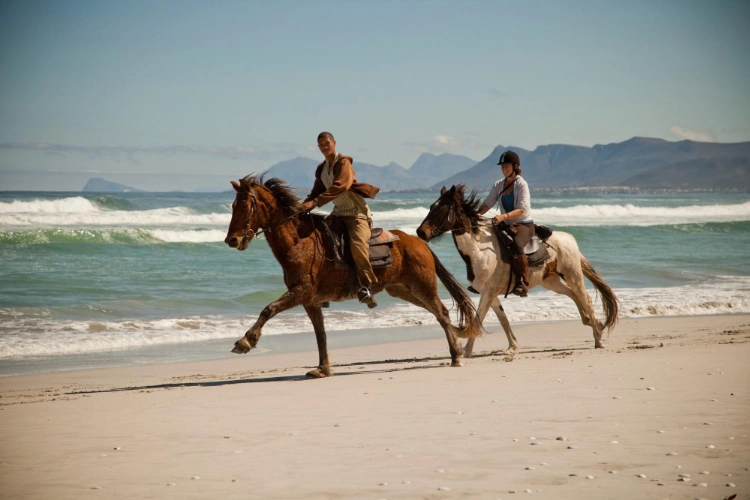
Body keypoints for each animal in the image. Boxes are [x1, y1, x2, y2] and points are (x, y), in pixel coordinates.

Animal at [223, 175, 480, 378]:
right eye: (233, 206)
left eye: (244, 205)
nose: (231, 240)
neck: (298, 242)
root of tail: (419, 241)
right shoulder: (310, 301)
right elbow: (320, 334)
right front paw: (323, 369)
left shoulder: (301, 292)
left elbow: (268, 309)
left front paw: (245, 341)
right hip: (404, 291)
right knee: (438, 314)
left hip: (422, 287)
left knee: (442, 312)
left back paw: (456, 356)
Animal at [416, 185, 619, 361]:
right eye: (431, 206)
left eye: (442, 208)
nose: (420, 232)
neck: (479, 250)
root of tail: (568, 238)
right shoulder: (489, 293)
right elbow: (503, 319)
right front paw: (512, 346)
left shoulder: (488, 293)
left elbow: (479, 318)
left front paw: (466, 351)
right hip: (551, 281)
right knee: (573, 295)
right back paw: (591, 322)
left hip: (573, 275)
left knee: (586, 298)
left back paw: (598, 338)